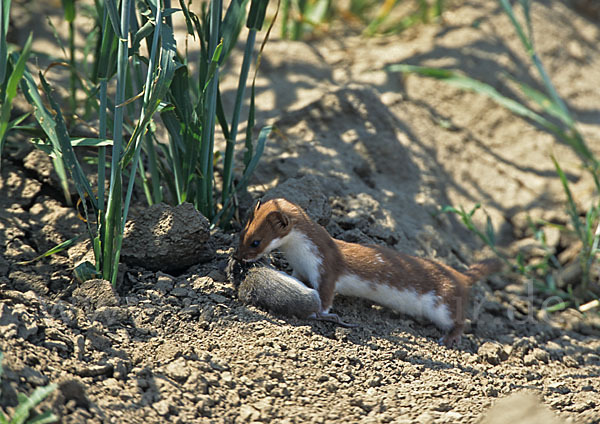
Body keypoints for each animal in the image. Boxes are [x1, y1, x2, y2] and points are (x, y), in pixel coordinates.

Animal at [234, 197, 502, 346]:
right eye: (242, 232)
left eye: (256, 242)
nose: (238, 256)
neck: (298, 254)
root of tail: (460, 275)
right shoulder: (301, 270)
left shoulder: (327, 268)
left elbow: (326, 297)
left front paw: (322, 314)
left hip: (444, 302)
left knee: (459, 319)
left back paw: (450, 338)